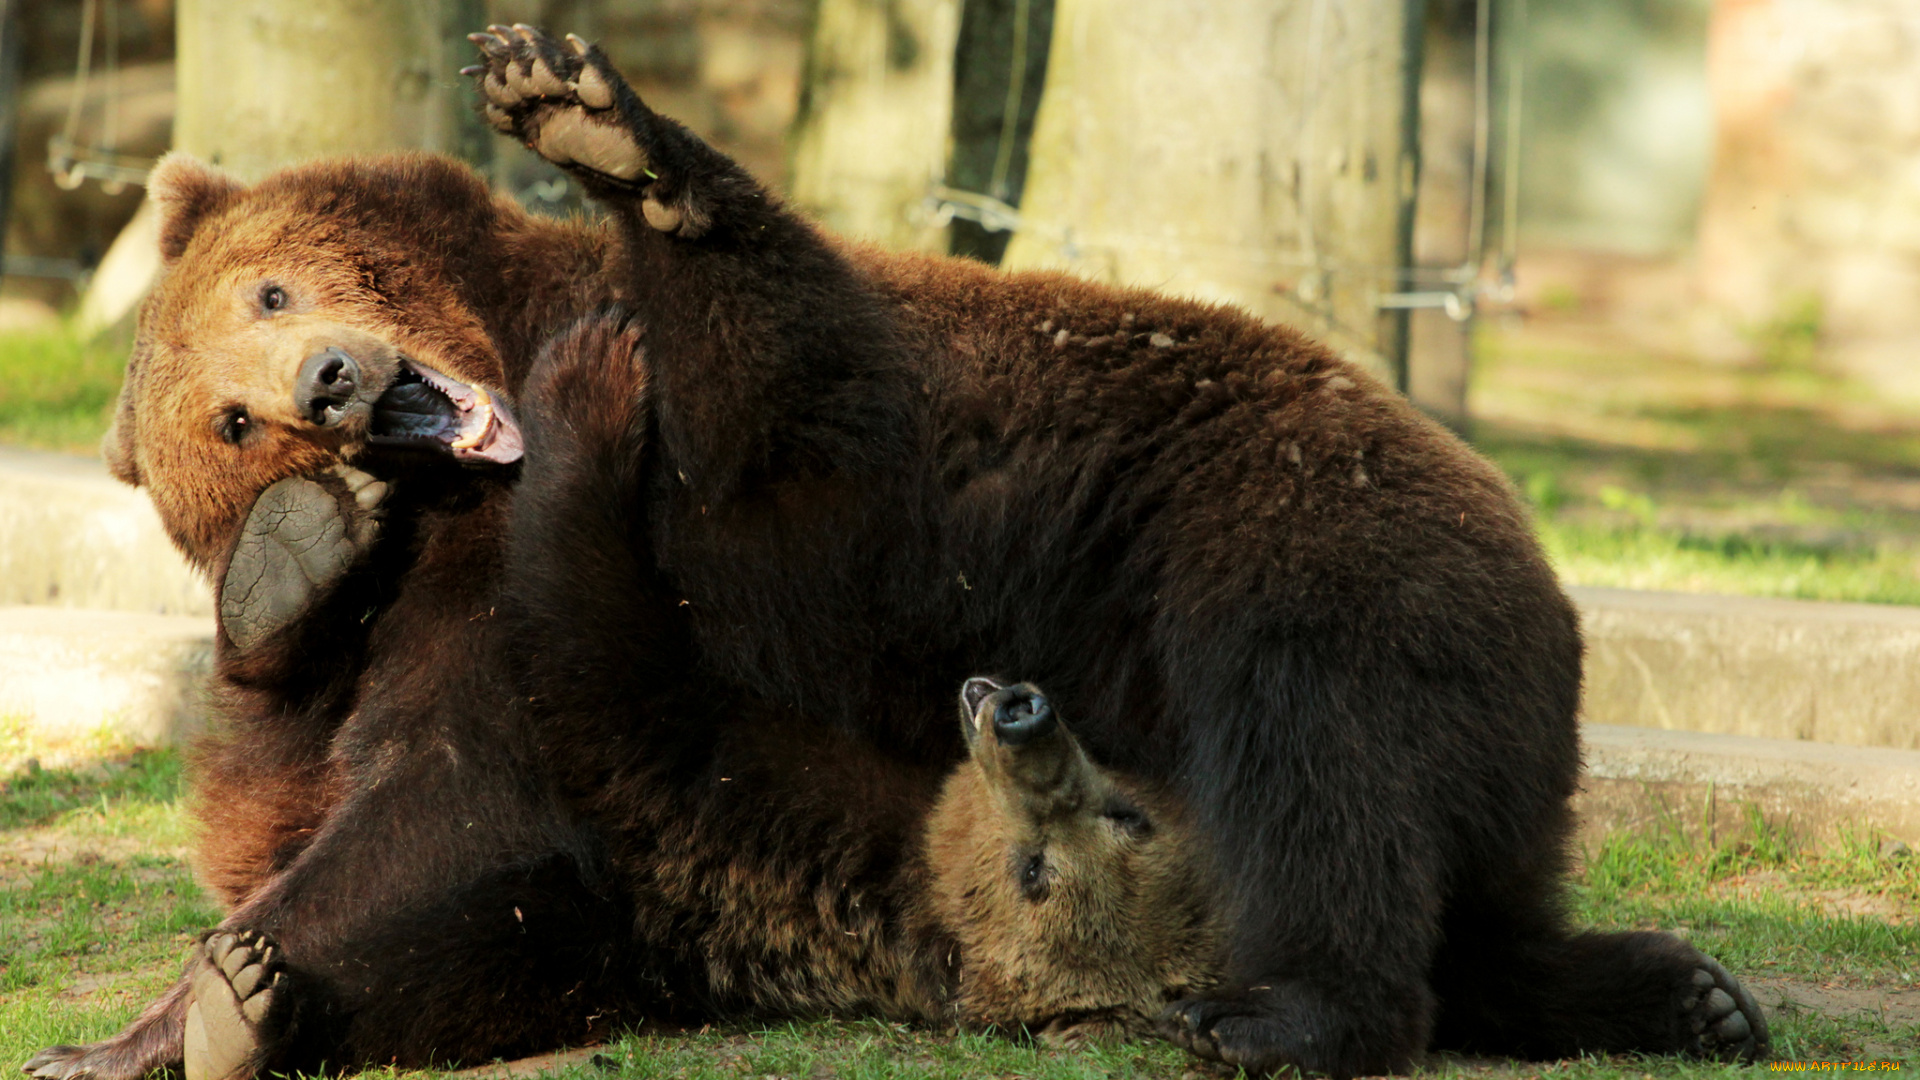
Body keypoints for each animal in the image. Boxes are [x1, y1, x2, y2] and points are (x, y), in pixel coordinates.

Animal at [30, 23, 1766, 1076]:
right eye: (230, 424)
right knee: (1462, 869)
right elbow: (354, 819)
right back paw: (1670, 984)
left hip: (1281, 545)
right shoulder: (455, 649)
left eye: (269, 289)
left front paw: (599, 122)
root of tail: (1536, 557)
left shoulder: (792, 479)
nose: (328, 381)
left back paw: (1285, 1010)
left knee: (1313, 760)